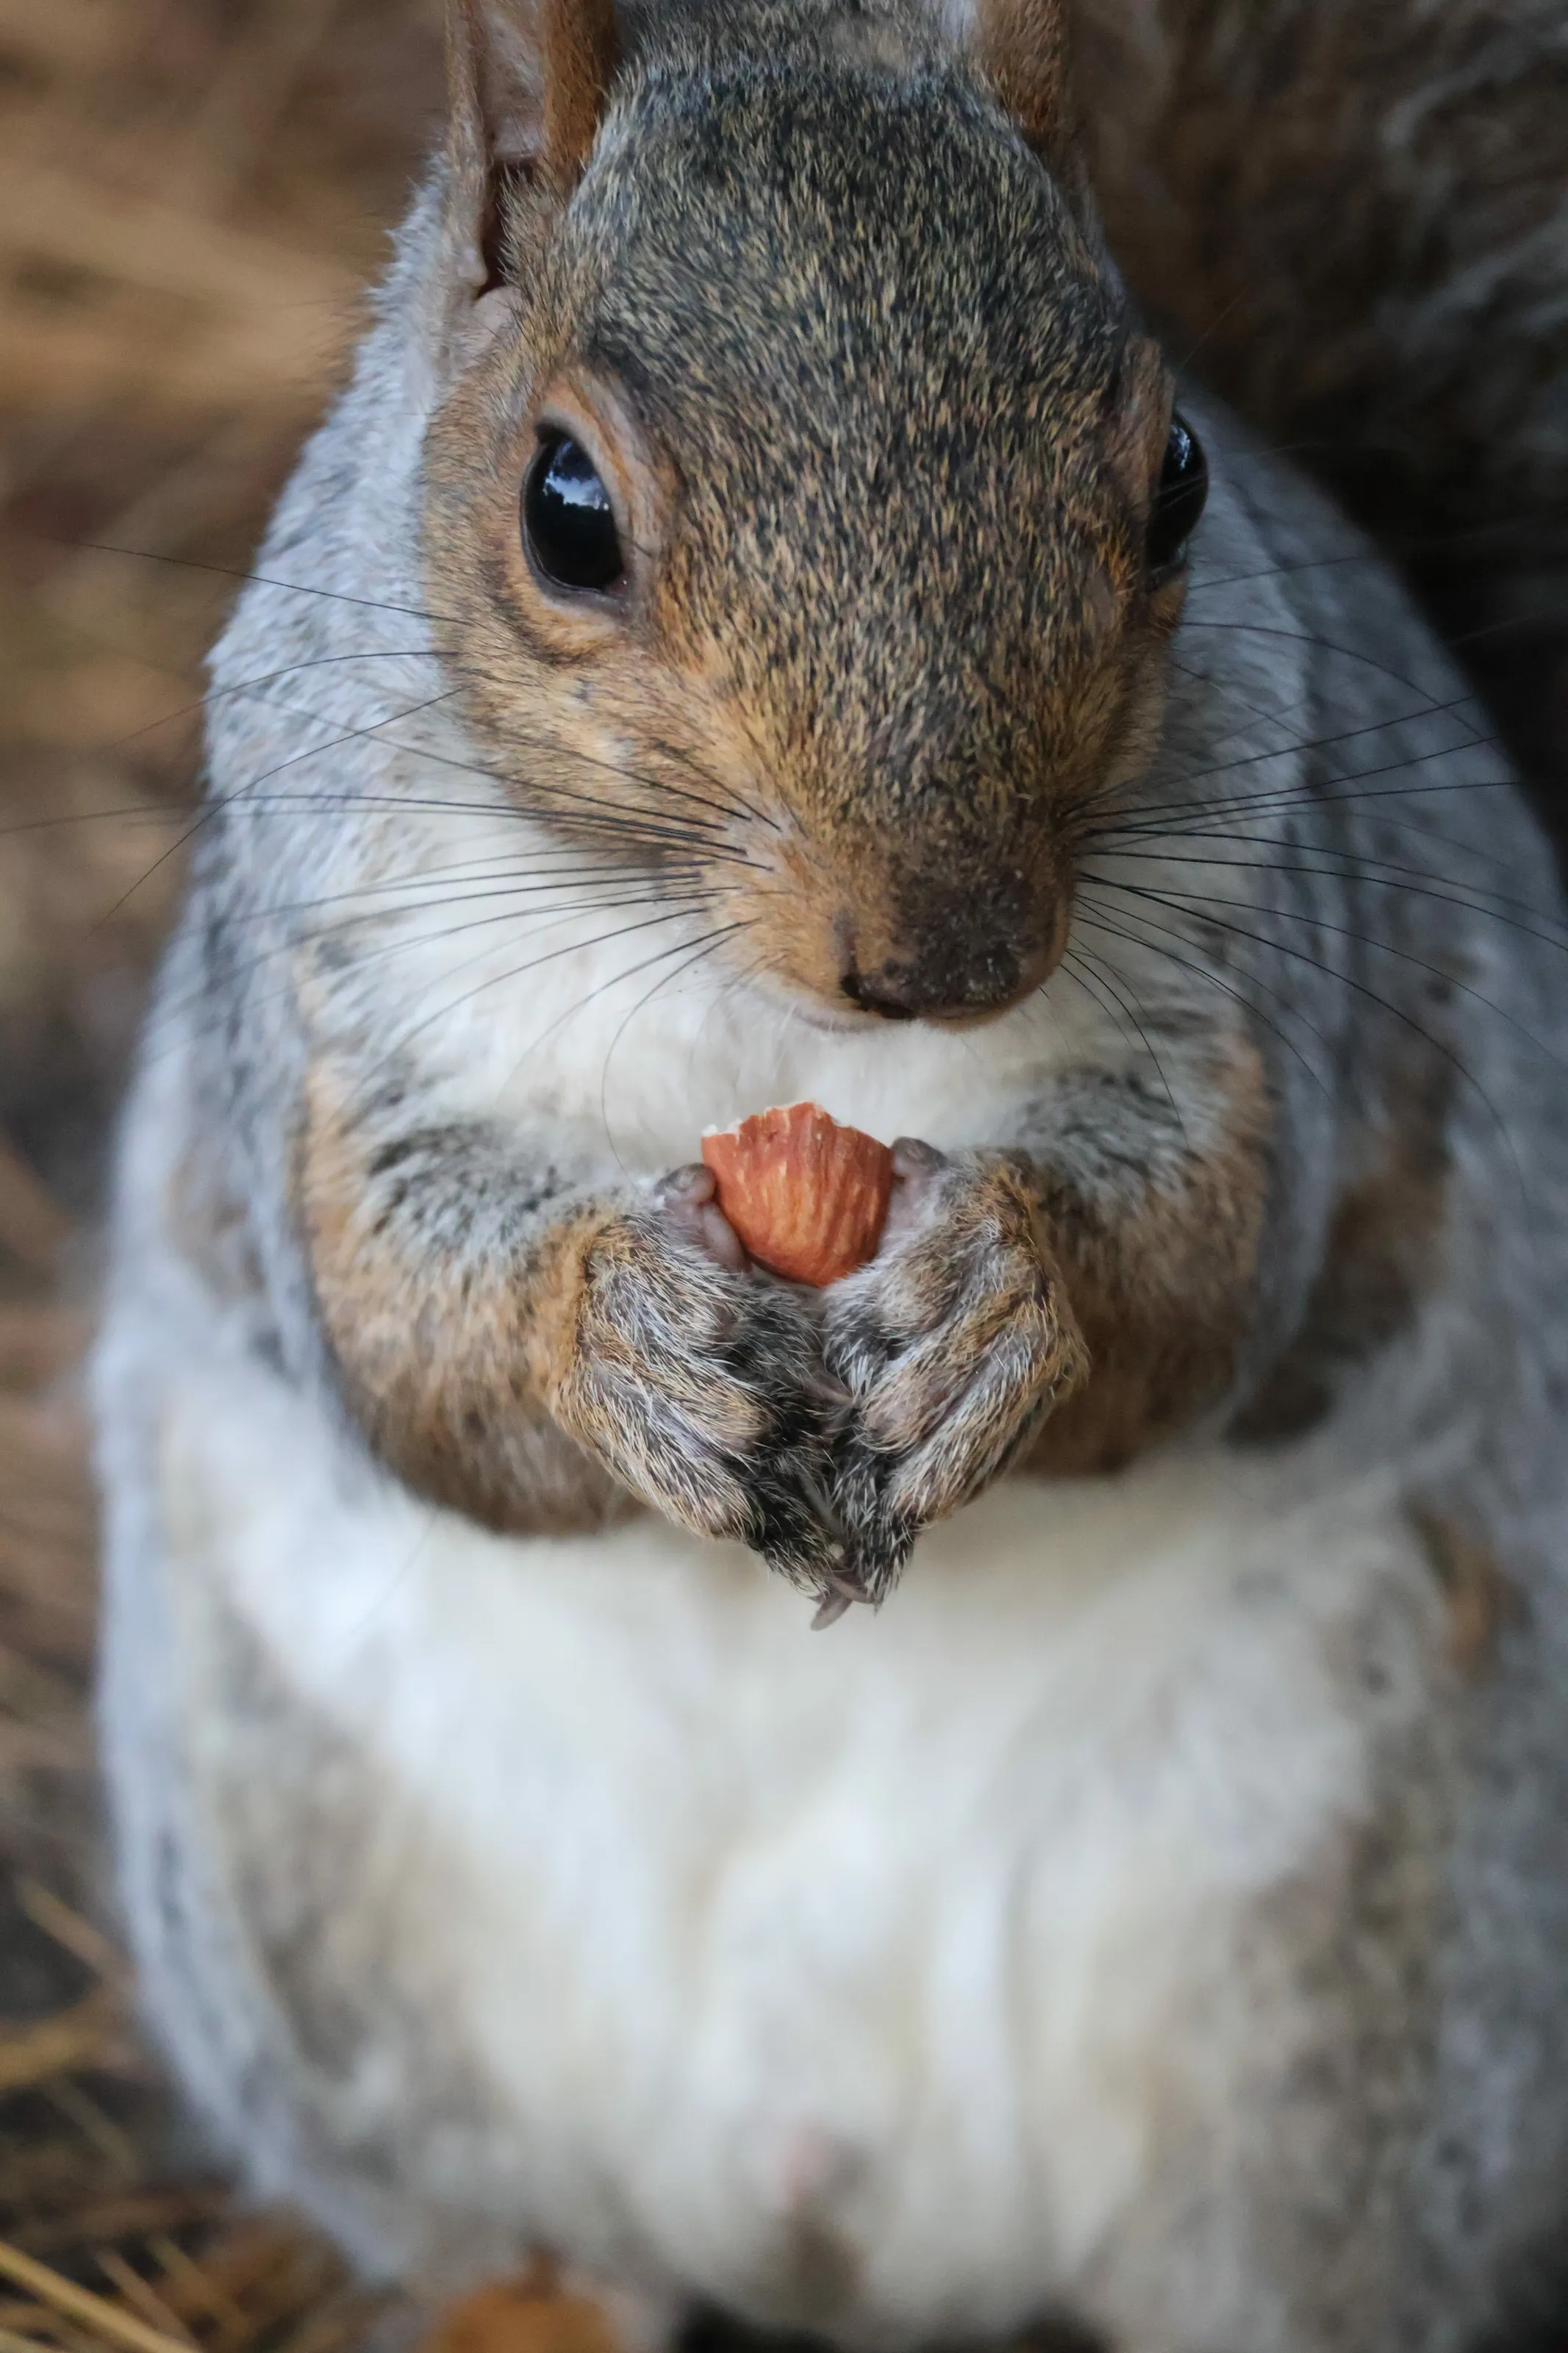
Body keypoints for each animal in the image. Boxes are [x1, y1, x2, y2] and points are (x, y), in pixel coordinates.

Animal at [92, 3, 1568, 2351]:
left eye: (1175, 474)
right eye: (565, 513)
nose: (951, 951)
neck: (742, 999)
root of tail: (842, 2207)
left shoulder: (1257, 957)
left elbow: (1211, 1257)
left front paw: (1000, 1300)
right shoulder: (322, 994)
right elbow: (391, 1339)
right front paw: (612, 1331)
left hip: (1362, 1961)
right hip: (322, 1910)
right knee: (511, 2227)